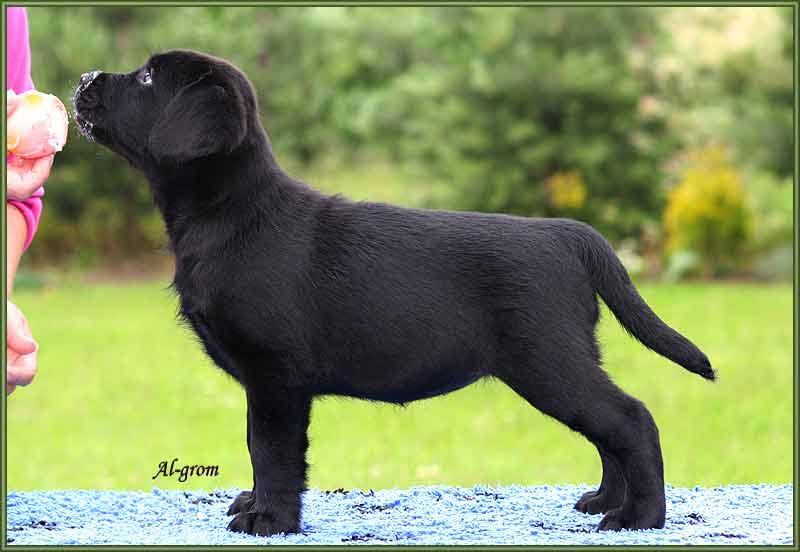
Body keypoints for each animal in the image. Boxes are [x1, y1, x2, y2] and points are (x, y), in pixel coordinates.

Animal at [73, 50, 712, 536]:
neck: (232, 213)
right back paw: (605, 501)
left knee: (631, 420)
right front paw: (255, 505)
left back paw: (640, 518)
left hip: (549, 361)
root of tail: (570, 233)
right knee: (609, 430)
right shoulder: (266, 382)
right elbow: (257, 446)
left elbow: (272, 451)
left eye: (148, 78)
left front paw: (270, 520)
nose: (82, 81)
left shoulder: (276, 376)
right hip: (563, 361)